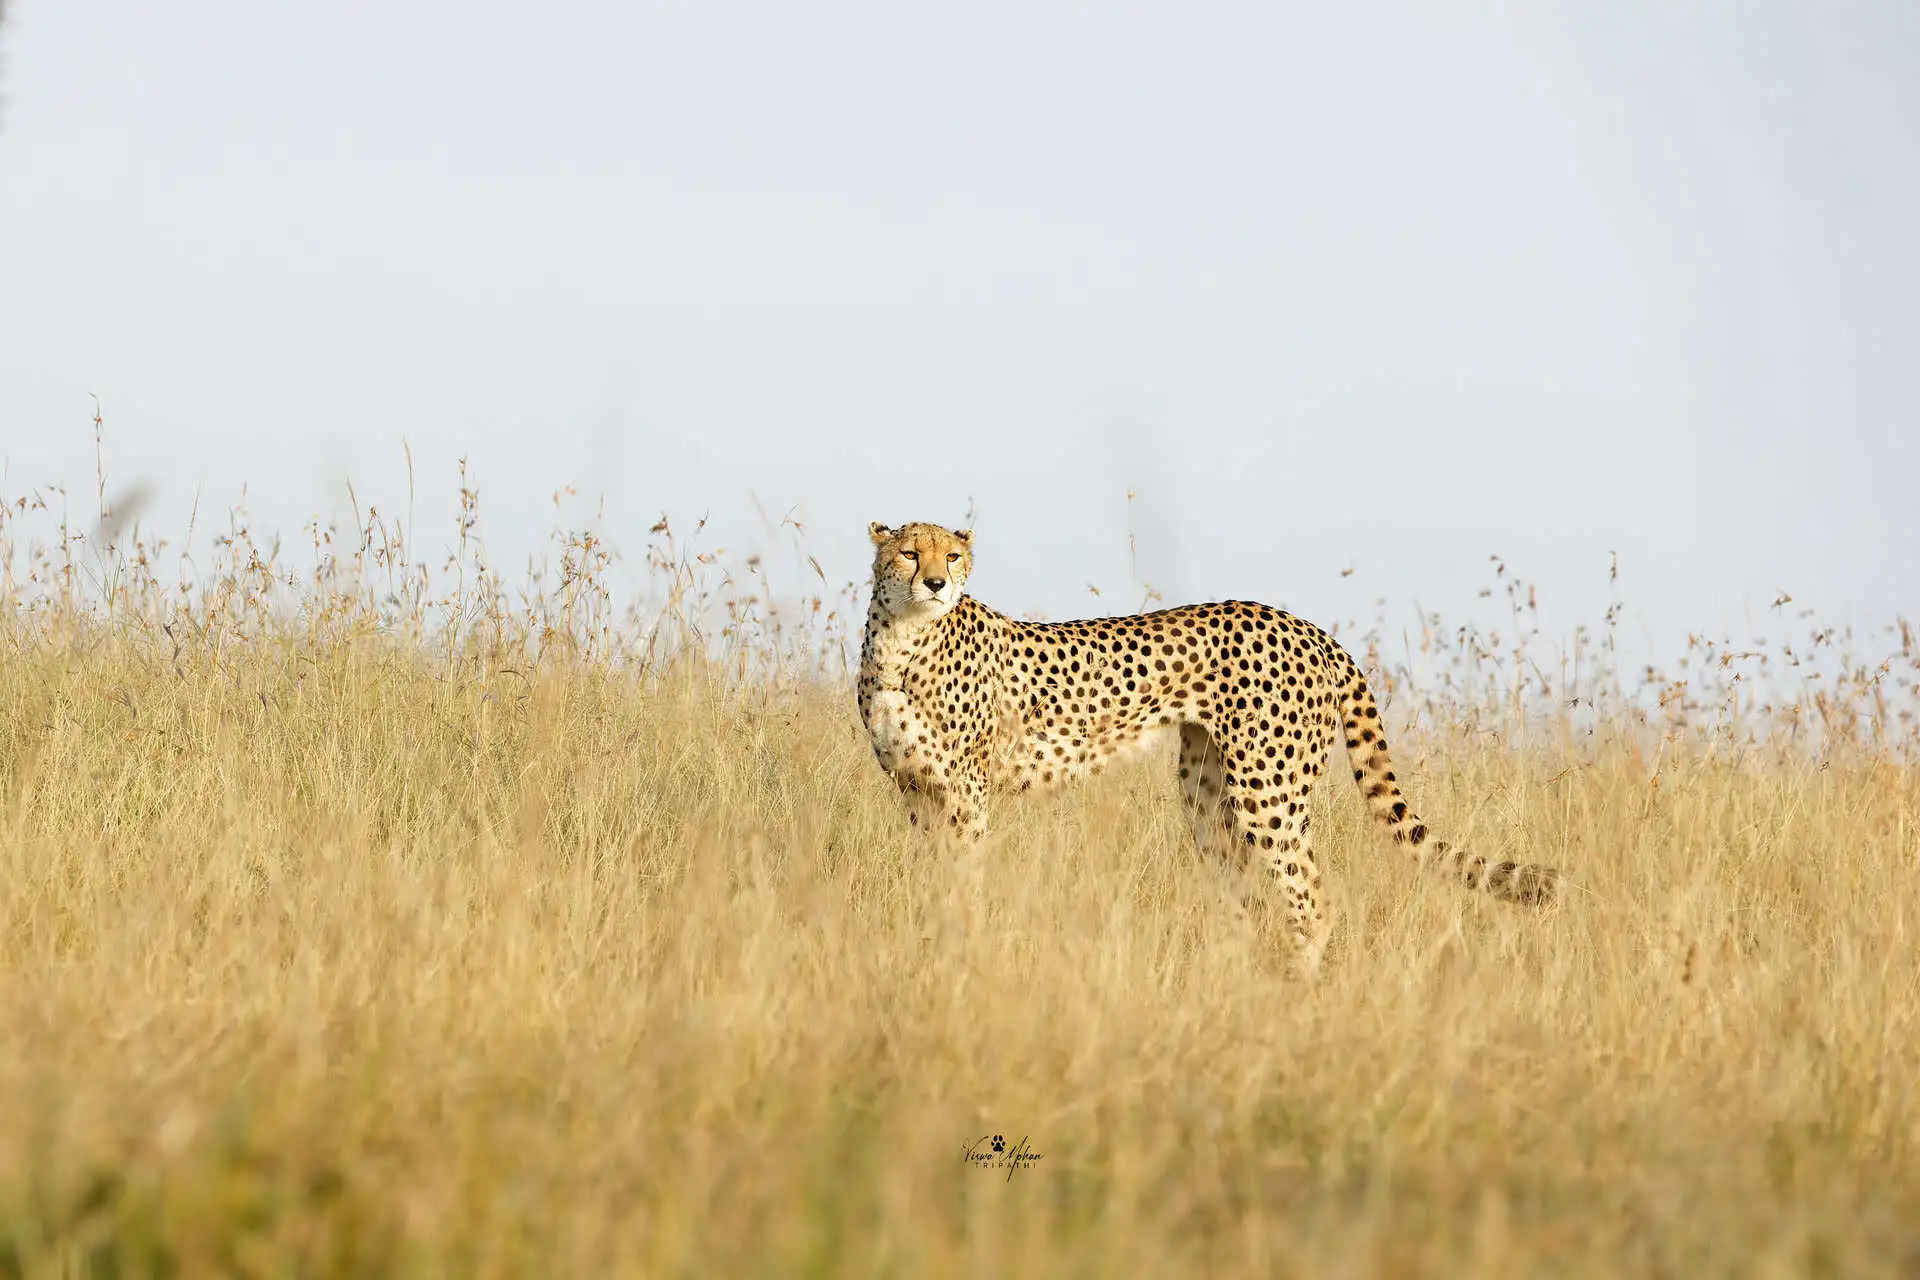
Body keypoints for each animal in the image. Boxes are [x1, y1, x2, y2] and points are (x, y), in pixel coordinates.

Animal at [856, 519, 1558, 973]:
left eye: (951, 556)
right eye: (909, 553)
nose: (936, 583)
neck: (903, 639)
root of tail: (1312, 627)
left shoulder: (966, 793)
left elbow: (963, 880)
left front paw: (959, 950)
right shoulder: (915, 789)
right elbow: (933, 878)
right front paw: (929, 940)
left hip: (1269, 792)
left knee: (1312, 896)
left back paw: (1296, 989)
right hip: (1206, 795)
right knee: (1246, 893)